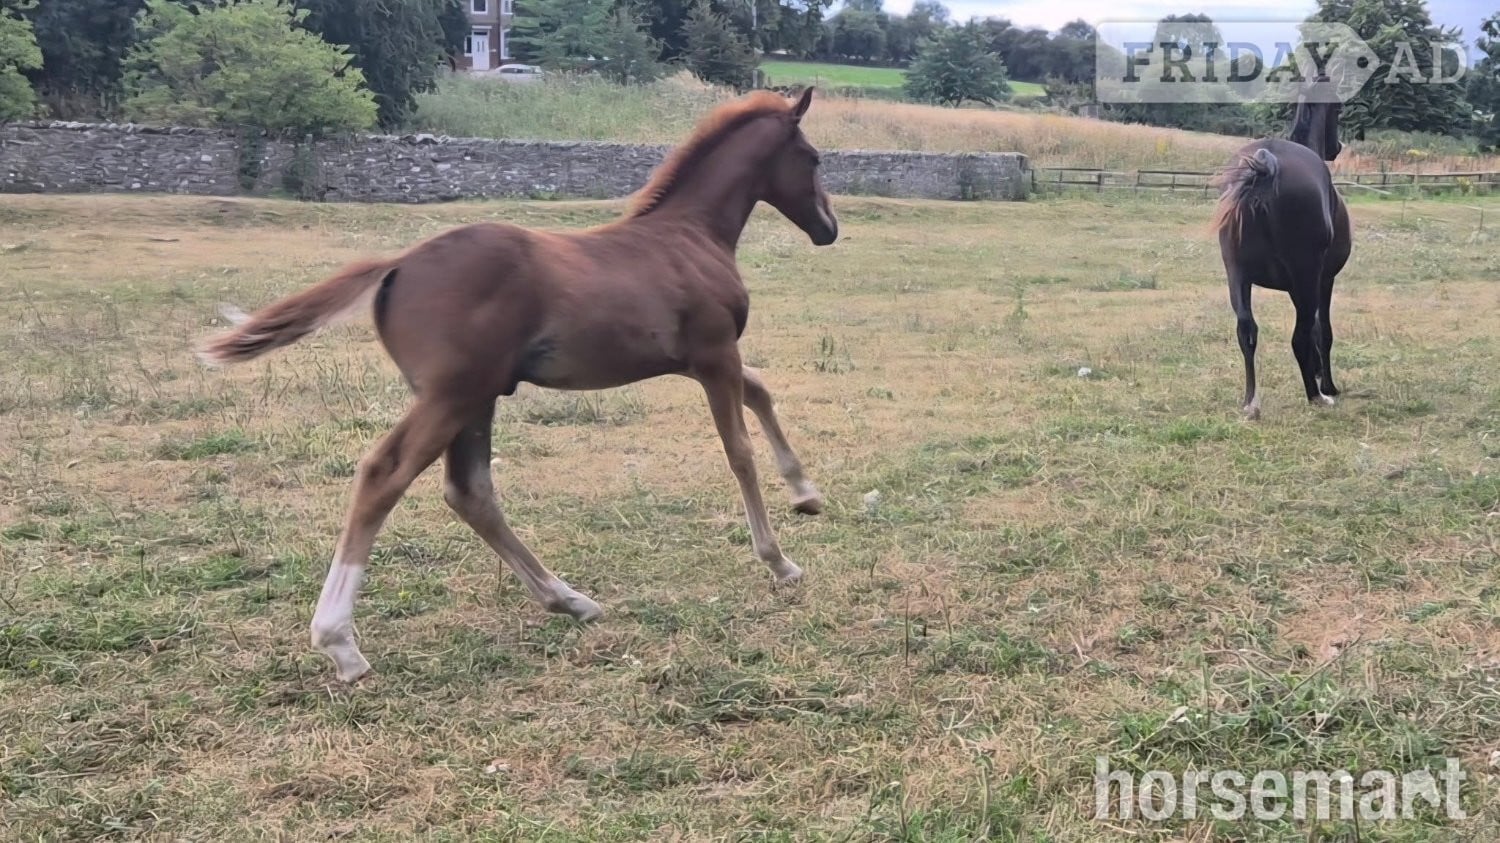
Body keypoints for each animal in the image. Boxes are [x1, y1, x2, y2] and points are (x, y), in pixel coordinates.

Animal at [196, 88, 838, 683]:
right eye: (812, 157)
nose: (829, 229)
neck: (689, 235)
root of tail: (397, 264)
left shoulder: (695, 360)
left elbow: (761, 391)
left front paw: (806, 492)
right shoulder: (713, 355)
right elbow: (739, 452)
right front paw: (779, 561)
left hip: (475, 397)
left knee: (470, 491)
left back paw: (569, 600)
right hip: (452, 395)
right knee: (386, 473)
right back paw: (341, 643)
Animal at [1211, 77, 1351, 420]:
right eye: (1338, 107)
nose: (1337, 147)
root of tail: (1267, 162)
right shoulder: (1323, 280)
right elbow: (1322, 331)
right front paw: (1327, 384)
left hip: (1237, 275)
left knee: (1246, 330)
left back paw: (1251, 403)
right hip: (1306, 276)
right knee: (1298, 337)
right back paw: (1315, 396)